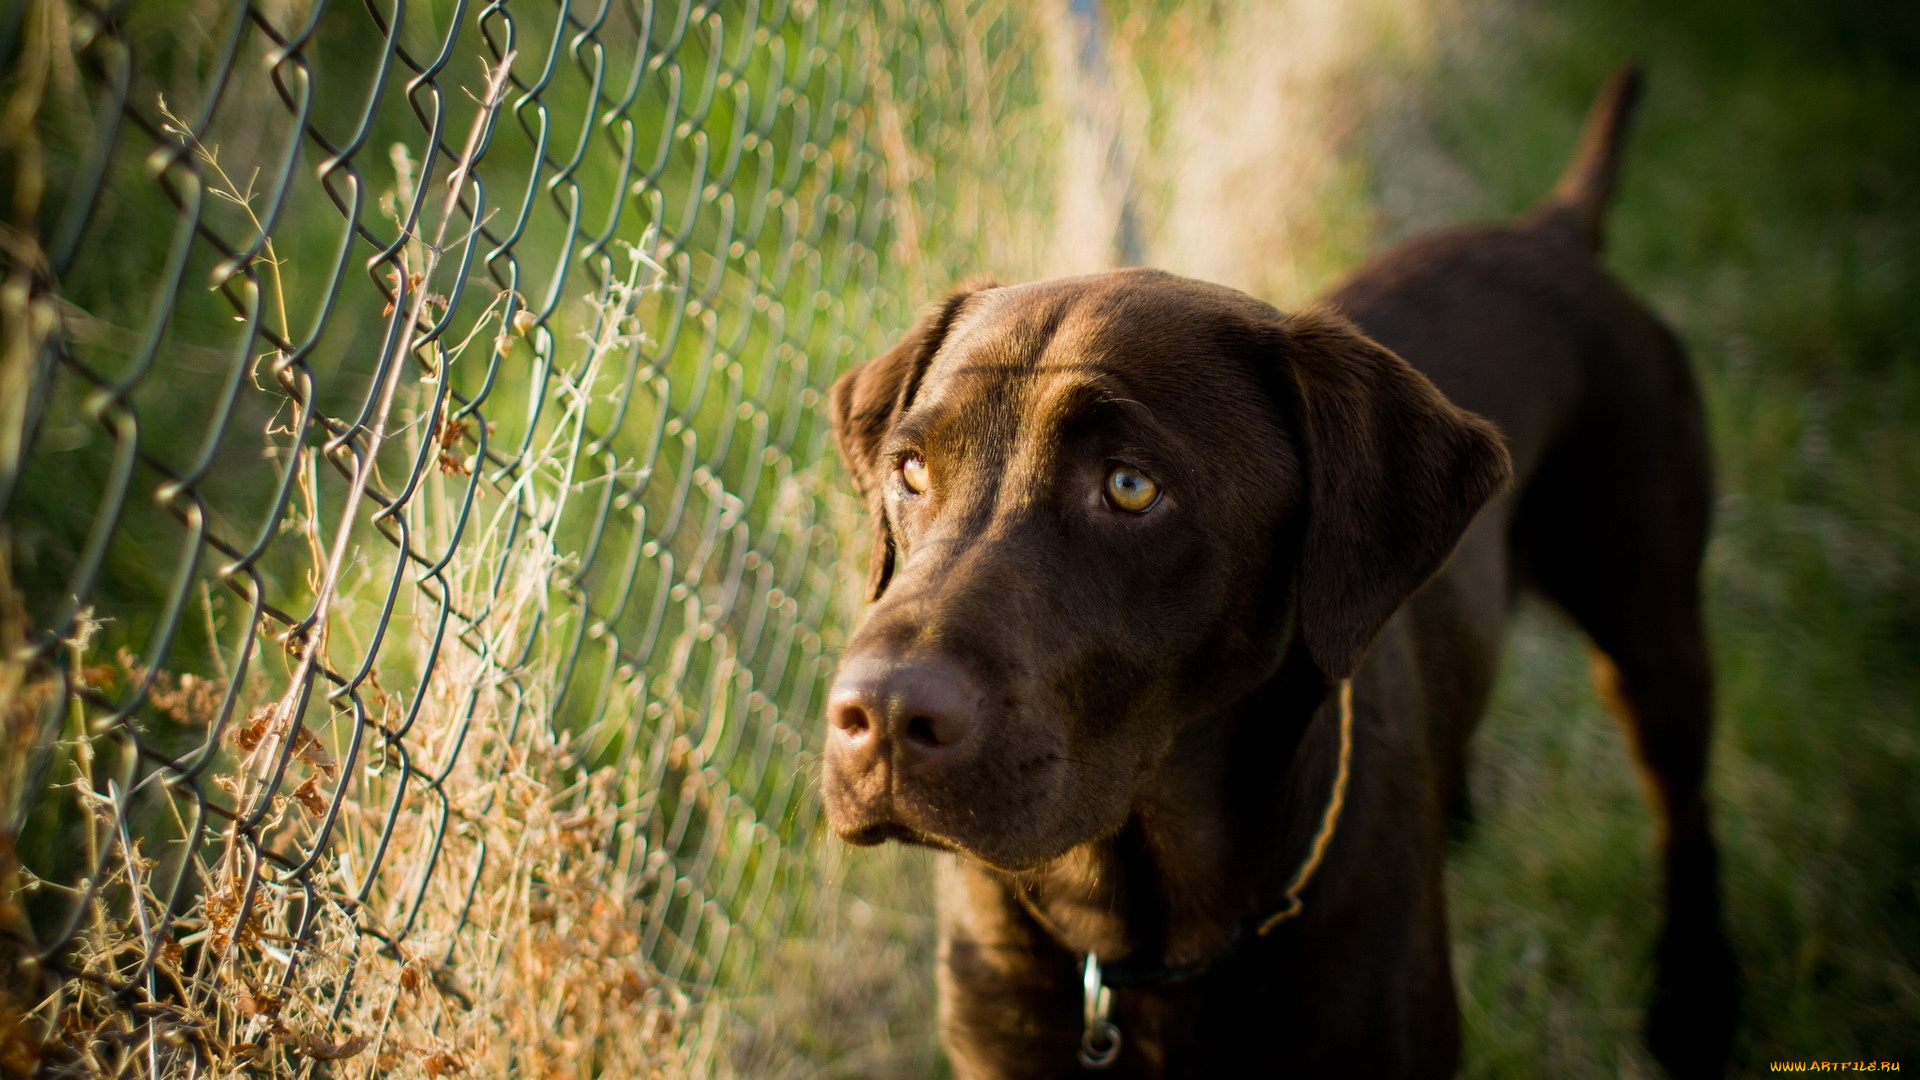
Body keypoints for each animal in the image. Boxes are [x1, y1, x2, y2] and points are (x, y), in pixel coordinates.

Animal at [825, 69, 1743, 1076]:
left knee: (1685, 812)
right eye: (913, 471)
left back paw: (1698, 1001)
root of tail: (1548, 229)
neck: (1145, 943)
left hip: (1651, 629)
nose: (882, 717)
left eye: (1131, 487)